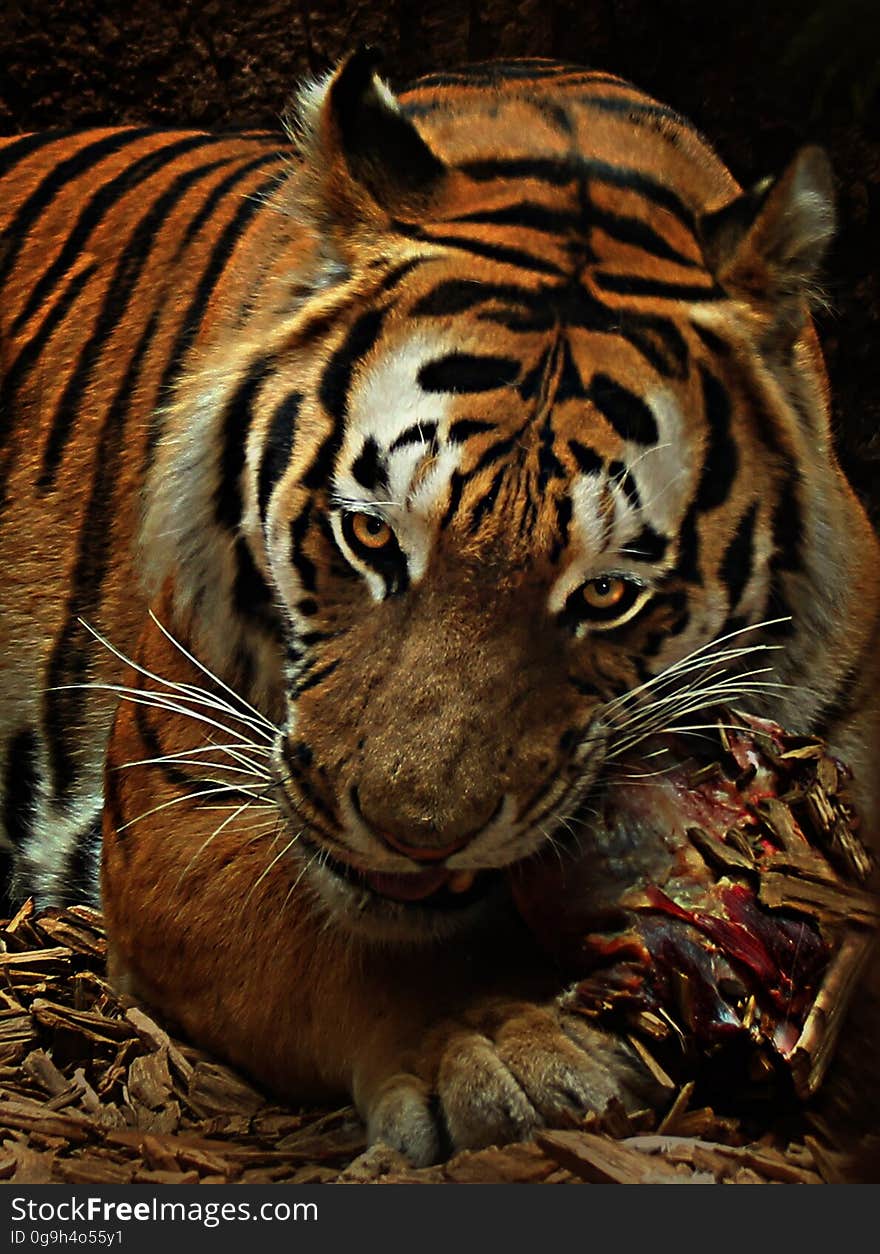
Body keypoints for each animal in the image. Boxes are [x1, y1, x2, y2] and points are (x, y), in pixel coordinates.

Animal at [0, 48, 877, 1163]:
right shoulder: (172, 807)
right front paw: (502, 1051)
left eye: (605, 593)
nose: (416, 838)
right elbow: (350, 944)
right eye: (371, 536)